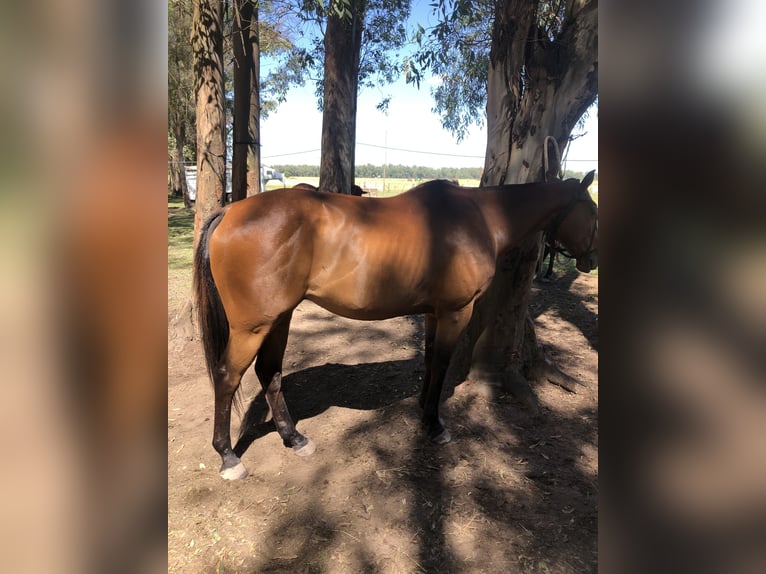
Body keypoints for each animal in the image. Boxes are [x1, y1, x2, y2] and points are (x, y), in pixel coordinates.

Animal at [194, 172, 600, 482]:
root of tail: (229, 211)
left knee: (270, 372)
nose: (591, 260)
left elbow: (430, 360)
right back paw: (228, 457)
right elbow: (441, 364)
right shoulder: (456, 312)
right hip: (252, 327)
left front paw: (423, 409)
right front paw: (435, 425)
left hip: (279, 318)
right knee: (228, 376)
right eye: (593, 210)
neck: (480, 218)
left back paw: (294, 438)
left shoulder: (435, 313)